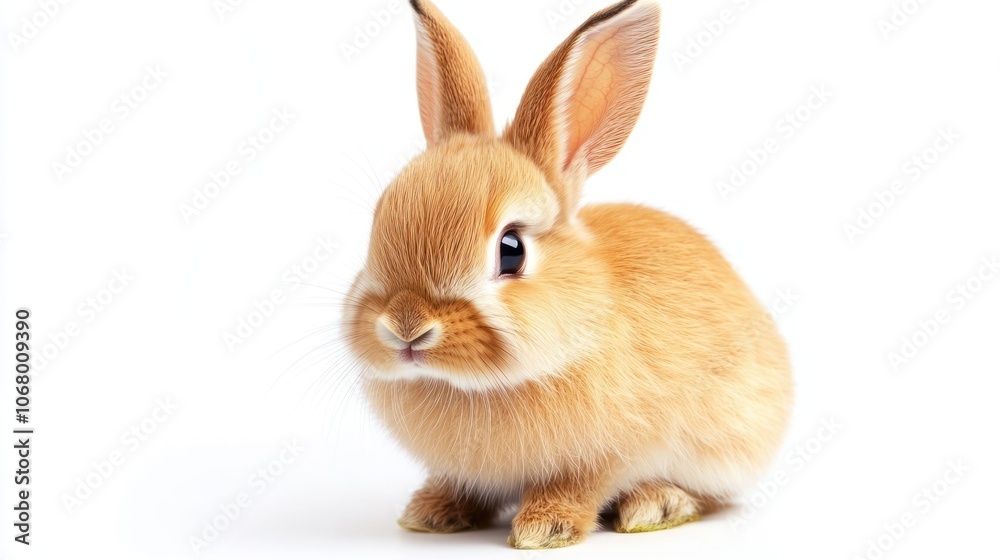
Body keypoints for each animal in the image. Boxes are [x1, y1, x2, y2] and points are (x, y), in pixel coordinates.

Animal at [342, 0, 793, 549]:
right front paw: (432, 513)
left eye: (511, 250)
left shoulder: (609, 453)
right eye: (376, 226)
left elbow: (580, 485)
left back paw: (656, 505)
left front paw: (544, 528)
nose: (406, 327)